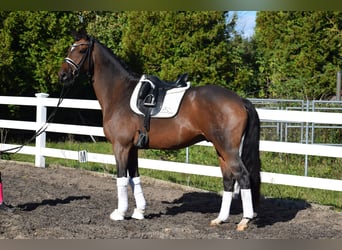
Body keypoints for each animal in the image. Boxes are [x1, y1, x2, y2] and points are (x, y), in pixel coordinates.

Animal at [58, 32, 260, 231]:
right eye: (70, 48)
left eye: (81, 50)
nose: (63, 75)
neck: (120, 94)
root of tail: (240, 100)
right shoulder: (133, 148)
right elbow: (135, 178)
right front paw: (139, 212)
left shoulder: (120, 146)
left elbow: (122, 177)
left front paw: (120, 213)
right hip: (220, 150)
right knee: (228, 179)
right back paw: (220, 219)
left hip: (228, 150)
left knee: (242, 176)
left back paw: (245, 220)